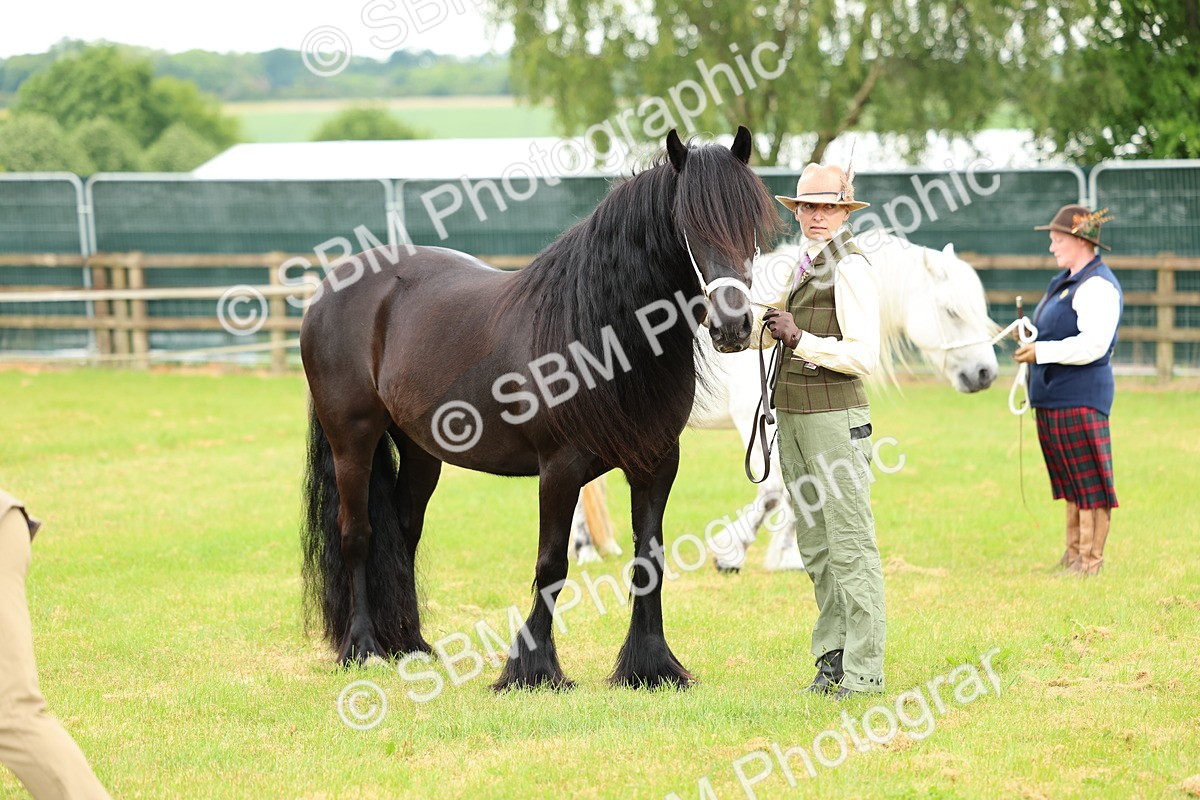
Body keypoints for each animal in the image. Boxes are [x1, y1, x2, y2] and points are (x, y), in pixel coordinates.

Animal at [300, 126, 781, 690]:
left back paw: (410, 644)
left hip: (420, 451)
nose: (733, 327)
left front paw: (651, 666)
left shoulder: (657, 464)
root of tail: (333, 286)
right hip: (351, 440)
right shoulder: (560, 467)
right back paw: (363, 648)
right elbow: (552, 563)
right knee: (357, 535)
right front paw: (531, 670)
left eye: (750, 224)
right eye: (688, 225)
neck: (599, 330)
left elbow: (649, 560)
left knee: (403, 532)